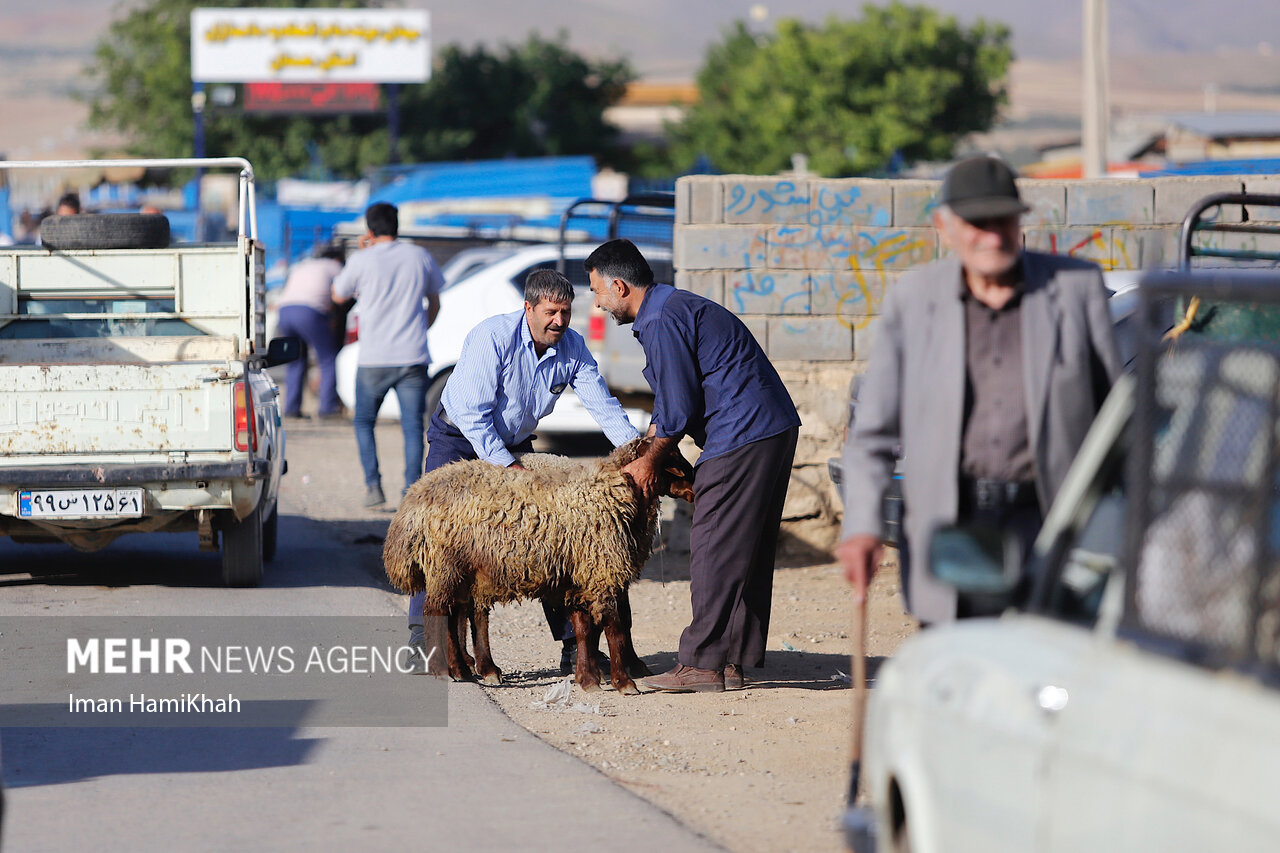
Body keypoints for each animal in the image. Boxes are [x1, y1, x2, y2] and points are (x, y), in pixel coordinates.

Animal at [384, 438, 696, 691]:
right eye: (672, 457)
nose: (694, 483)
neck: (608, 491)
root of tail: (414, 499)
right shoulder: (602, 568)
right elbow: (615, 625)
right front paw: (624, 681)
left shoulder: (581, 575)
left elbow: (585, 628)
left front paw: (588, 679)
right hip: (445, 564)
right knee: (437, 611)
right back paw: (445, 670)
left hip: (464, 569)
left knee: (458, 613)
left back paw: (465, 668)